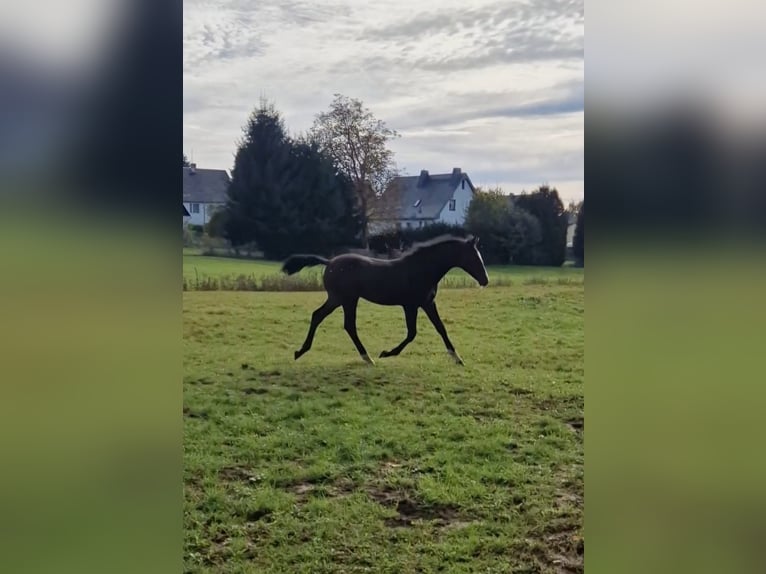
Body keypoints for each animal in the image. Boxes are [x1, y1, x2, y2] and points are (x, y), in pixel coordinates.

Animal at [281, 234, 489, 365]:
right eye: (474, 257)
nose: (485, 280)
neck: (422, 269)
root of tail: (330, 262)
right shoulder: (410, 305)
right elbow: (412, 333)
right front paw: (387, 353)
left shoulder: (427, 303)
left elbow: (441, 328)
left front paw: (457, 358)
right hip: (343, 298)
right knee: (333, 320)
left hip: (344, 299)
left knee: (333, 320)